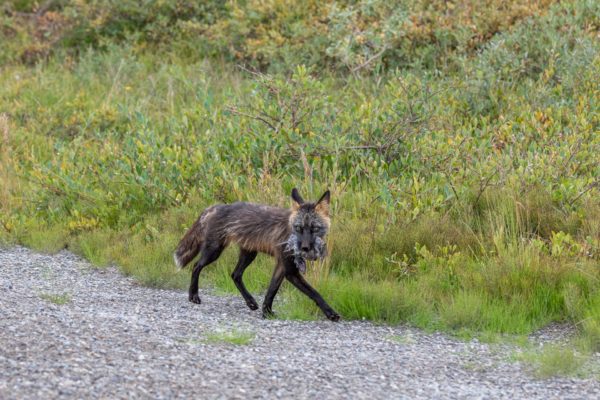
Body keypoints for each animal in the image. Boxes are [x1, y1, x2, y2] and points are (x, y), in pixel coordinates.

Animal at [176, 188, 340, 322]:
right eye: (299, 228)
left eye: (314, 228)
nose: (304, 248)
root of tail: (216, 206)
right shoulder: (290, 270)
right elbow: (314, 293)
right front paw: (330, 313)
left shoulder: (281, 266)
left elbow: (271, 291)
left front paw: (266, 312)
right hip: (214, 251)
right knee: (196, 266)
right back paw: (193, 295)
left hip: (249, 254)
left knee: (235, 275)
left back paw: (250, 302)